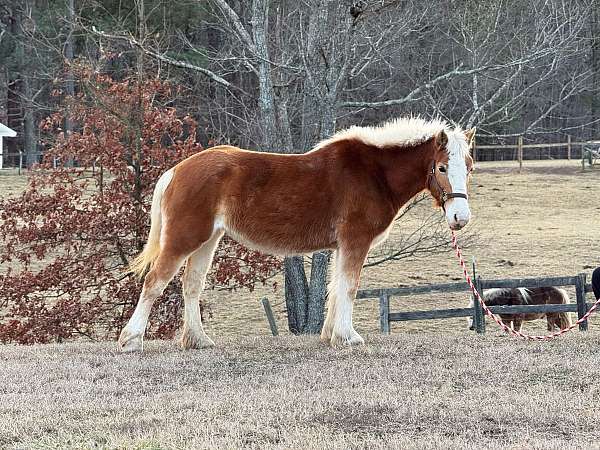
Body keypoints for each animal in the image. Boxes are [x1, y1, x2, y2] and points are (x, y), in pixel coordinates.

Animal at [119, 116, 476, 352]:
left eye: (470, 167)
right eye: (442, 167)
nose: (460, 218)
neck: (373, 172)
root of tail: (177, 171)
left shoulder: (340, 246)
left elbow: (335, 288)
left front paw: (332, 335)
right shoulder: (355, 241)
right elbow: (349, 287)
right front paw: (349, 337)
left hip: (207, 240)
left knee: (191, 286)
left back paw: (199, 340)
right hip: (184, 239)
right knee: (155, 282)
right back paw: (132, 340)